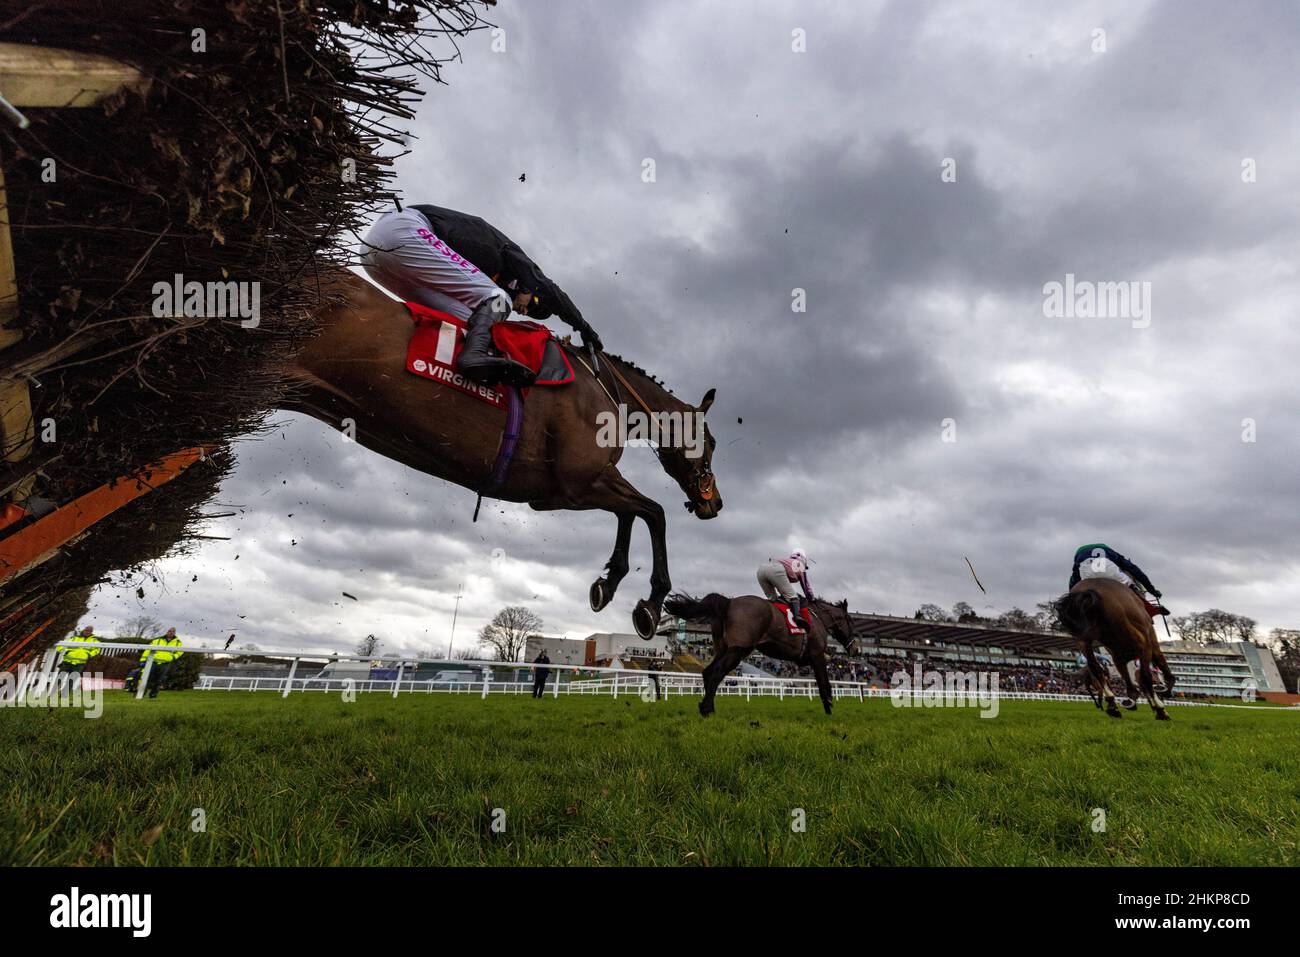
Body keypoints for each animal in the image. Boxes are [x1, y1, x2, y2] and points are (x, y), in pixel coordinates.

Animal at [283, 273, 722, 639]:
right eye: (713, 441)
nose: (714, 503)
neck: (604, 388)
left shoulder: (562, 493)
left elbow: (631, 513)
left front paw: (608, 581)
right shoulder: (579, 483)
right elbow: (653, 512)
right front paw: (651, 601)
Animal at [665, 590, 857, 717]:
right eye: (849, 621)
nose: (855, 649)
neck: (818, 619)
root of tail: (728, 603)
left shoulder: (810, 659)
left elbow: (821, 682)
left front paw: (828, 706)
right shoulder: (817, 656)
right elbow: (824, 683)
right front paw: (829, 707)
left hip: (723, 649)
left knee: (707, 672)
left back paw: (709, 707)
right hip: (738, 650)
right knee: (717, 673)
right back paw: (706, 709)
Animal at [1055, 574, 1180, 717]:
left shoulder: (1117, 654)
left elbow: (1127, 676)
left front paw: (1131, 699)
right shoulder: (1149, 642)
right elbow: (1158, 663)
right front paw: (1165, 690)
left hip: (1083, 640)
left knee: (1096, 669)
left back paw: (1112, 705)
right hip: (1140, 641)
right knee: (1145, 675)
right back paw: (1160, 709)